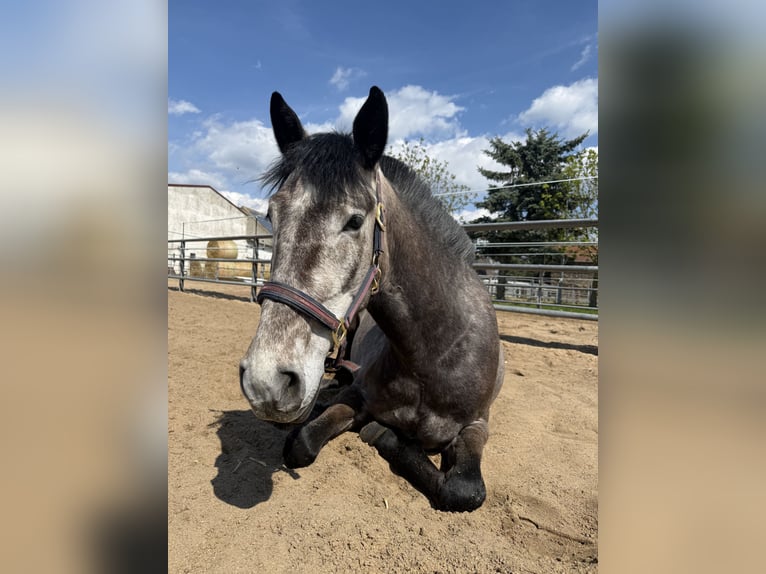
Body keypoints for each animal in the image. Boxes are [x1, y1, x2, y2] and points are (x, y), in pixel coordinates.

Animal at [239, 86, 504, 512]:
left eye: (354, 221)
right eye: (272, 215)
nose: (267, 382)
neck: (435, 353)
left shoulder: (477, 424)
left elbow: (465, 491)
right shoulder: (358, 393)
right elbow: (302, 442)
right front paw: (379, 432)